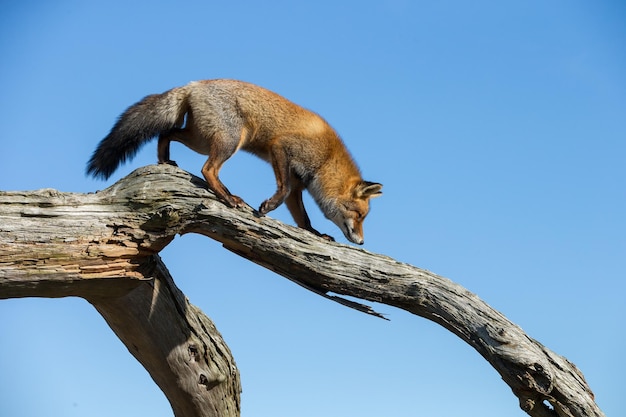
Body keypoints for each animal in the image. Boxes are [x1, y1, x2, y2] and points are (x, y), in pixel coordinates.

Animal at [87, 79, 380, 244]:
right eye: (360, 215)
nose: (362, 242)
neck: (326, 159)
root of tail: (194, 84)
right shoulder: (281, 148)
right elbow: (282, 190)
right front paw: (266, 207)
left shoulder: (298, 185)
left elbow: (303, 218)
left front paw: (315, 234)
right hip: (229, 141)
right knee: (207, 168)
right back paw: (227, 197)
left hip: (200, 139)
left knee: (166, 133)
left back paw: (165, 161)